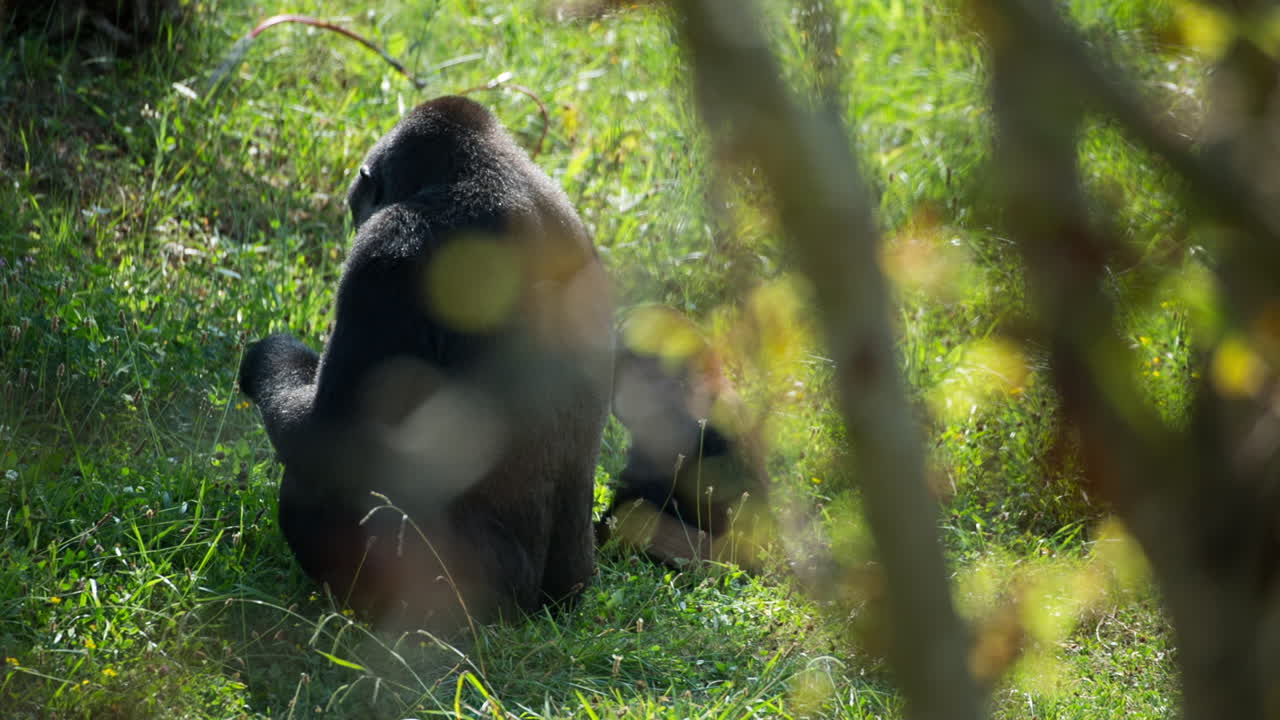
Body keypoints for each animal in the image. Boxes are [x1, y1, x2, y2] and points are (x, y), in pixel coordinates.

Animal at [238, 96, 613, 632]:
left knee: (311, 488)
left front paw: (268, 357)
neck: (481, 167)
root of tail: (536, 611)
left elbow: (327, 439)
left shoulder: (386, 254)